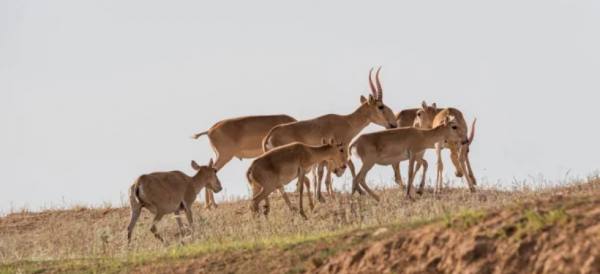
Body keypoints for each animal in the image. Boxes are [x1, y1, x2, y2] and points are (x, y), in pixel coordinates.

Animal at [264, 67, 398, 202]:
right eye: (380, 106)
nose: (393, 124)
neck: (346, 122)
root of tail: (271, 135)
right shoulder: (340, 149)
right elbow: (348, 166)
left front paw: (321, 196)